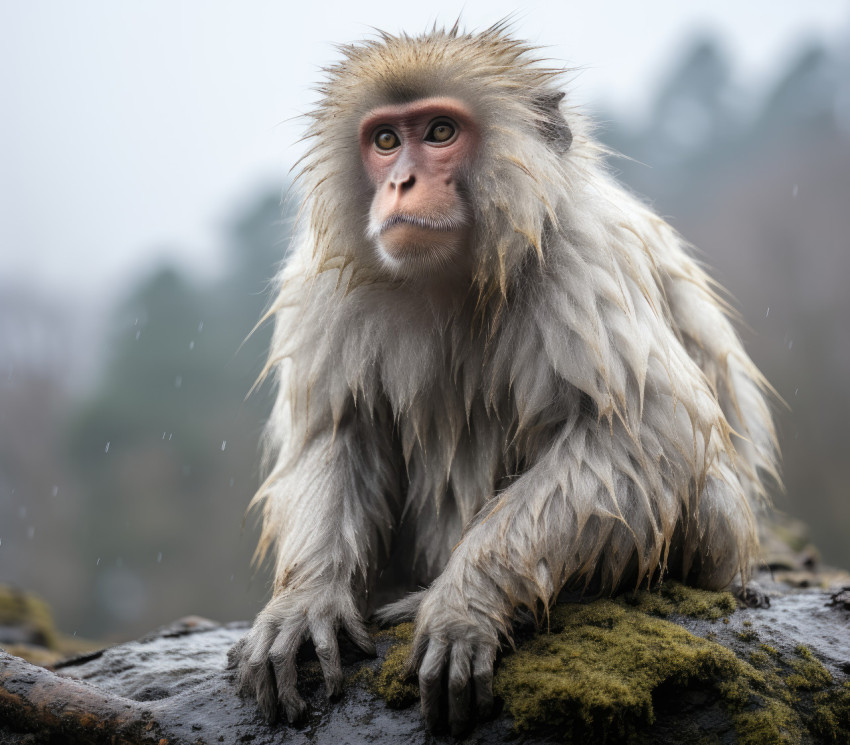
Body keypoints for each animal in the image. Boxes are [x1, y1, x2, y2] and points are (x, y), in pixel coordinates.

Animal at [229, 21, 780, 732]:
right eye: (386, 141)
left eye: (440, 132)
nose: (401, 182)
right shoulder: (322, 282)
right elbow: (338, 430)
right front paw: (305, 602)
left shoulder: (582, 255)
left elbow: (641, 435)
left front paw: (463, 603)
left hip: (720, 543)